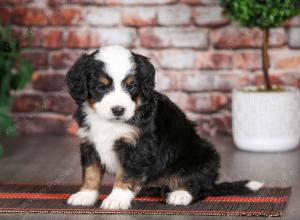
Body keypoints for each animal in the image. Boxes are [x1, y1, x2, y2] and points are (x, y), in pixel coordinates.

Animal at [65, 44, 262, 210]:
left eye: (131, 86)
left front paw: (117, 198)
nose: (118, 110)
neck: (110, 122)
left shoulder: (138, 146)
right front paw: (86, 195)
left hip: (202, 157)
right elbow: (91, 172)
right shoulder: (89, 143)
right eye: (101, 87)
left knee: (199, 185)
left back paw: (180, 194)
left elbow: (127, 173)